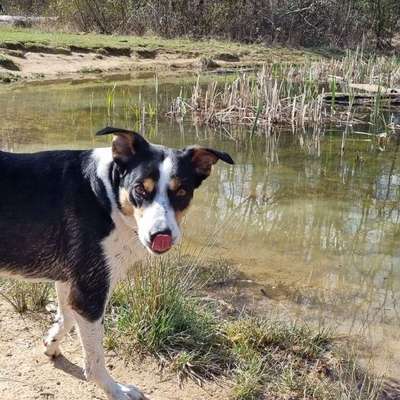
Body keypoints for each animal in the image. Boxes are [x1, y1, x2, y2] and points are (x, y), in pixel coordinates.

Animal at [0, 127, 234, 400]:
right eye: (140, 189)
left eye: (182, 191)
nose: (161, 234)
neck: (105, 195)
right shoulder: (90, 293)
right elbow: (95, 359)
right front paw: (114, 389)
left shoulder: (70, 281)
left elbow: (65, 318)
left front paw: (51, 344)